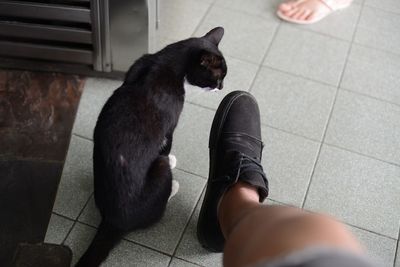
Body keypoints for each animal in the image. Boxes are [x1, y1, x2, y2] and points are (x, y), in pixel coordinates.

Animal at [74, 27, 225, 267]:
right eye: (217, 77)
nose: (221, 87)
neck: (166, 61)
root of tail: (114, 222)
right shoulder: (170, 124)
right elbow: (166, 145)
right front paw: (172, 159)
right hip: (159, 171)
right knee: (159, 200)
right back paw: (172, 187)